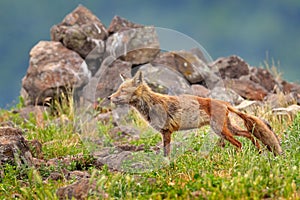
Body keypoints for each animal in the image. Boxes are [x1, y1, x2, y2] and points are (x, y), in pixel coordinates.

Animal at [109, 71, 282, 157]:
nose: (109, 97)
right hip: (228, 129)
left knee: (240, 143)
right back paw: (258, 152)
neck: (152, 104)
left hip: (221, 131)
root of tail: (225, 103)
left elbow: (166, 154)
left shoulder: (166, 132)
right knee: (249, 134)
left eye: (122, 90)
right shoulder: (166, 133)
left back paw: (239, 158)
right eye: (118, 89)